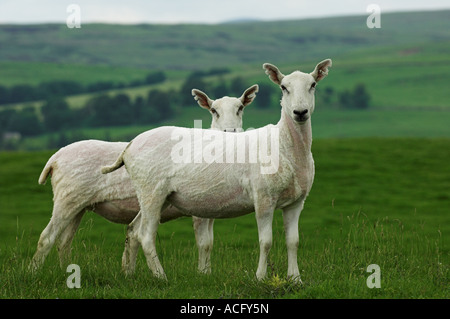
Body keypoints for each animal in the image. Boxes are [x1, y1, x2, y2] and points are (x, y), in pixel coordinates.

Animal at [29, 85, 258, 276]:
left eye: (240, 108)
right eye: (213, 110)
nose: (230, 132)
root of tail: (55, 158)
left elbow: (208, 243)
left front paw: (206, 274)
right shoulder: (199, 209)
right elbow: (204, 243)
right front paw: (203, 274)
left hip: (79, 205)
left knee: (64, 242)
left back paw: (65, 272)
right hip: (67, 199)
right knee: (47, 238)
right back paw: (33, 273)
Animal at [103, 60, 334, 282]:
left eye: (313, 85)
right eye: (284, 88)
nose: (300, 112)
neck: (285, 145)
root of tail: (130, 145)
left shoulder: (296, 202)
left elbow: (293, 242)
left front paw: (295, 279)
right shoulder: (263, 198)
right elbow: (266, 242)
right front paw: (260, 278)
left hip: (158, 195)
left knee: (133, 231)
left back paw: (129, 273)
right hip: (151, 190)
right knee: (146, 236)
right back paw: (161, 277)